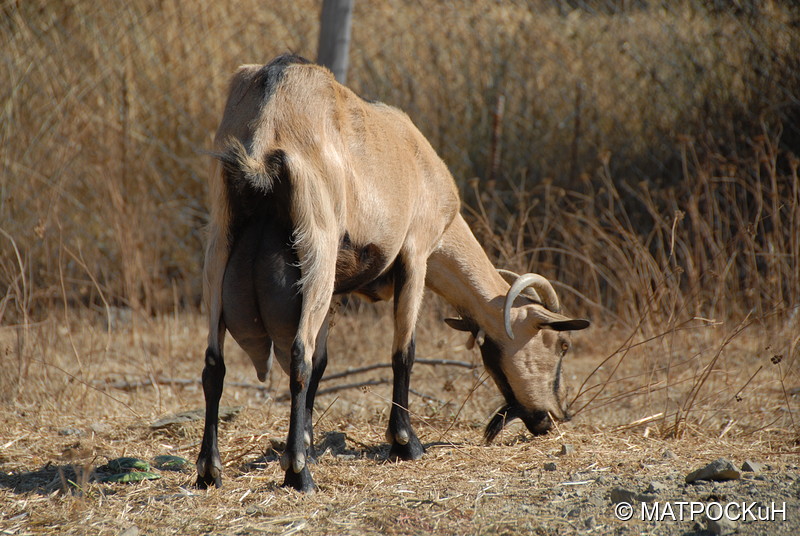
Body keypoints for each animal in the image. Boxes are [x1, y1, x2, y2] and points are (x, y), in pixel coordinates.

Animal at [198, 54, 592, 494]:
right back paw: (299, 474)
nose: (553, 418)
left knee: (214, 363)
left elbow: (324, 361)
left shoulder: (341, 288)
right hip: (317, 242)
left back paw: (209, 471)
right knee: (298, 355)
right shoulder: (416, 254)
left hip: (220, 243)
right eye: (561, 345)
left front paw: (310, 444)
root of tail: (269, 113)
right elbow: (403, 352)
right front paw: (406, 443)